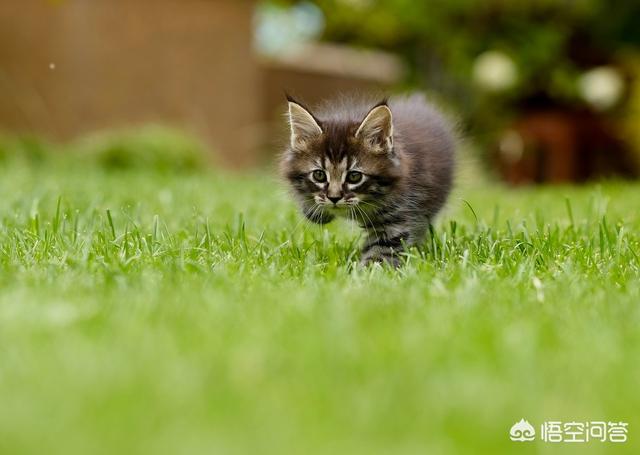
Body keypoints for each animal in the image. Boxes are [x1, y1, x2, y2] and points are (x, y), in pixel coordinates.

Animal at [280, 93, 456, 268]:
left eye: (354, 176)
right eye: (319, 175)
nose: (334, 198)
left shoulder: (396, 216)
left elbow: (381, 253)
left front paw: (365, 272)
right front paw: (315, 211)